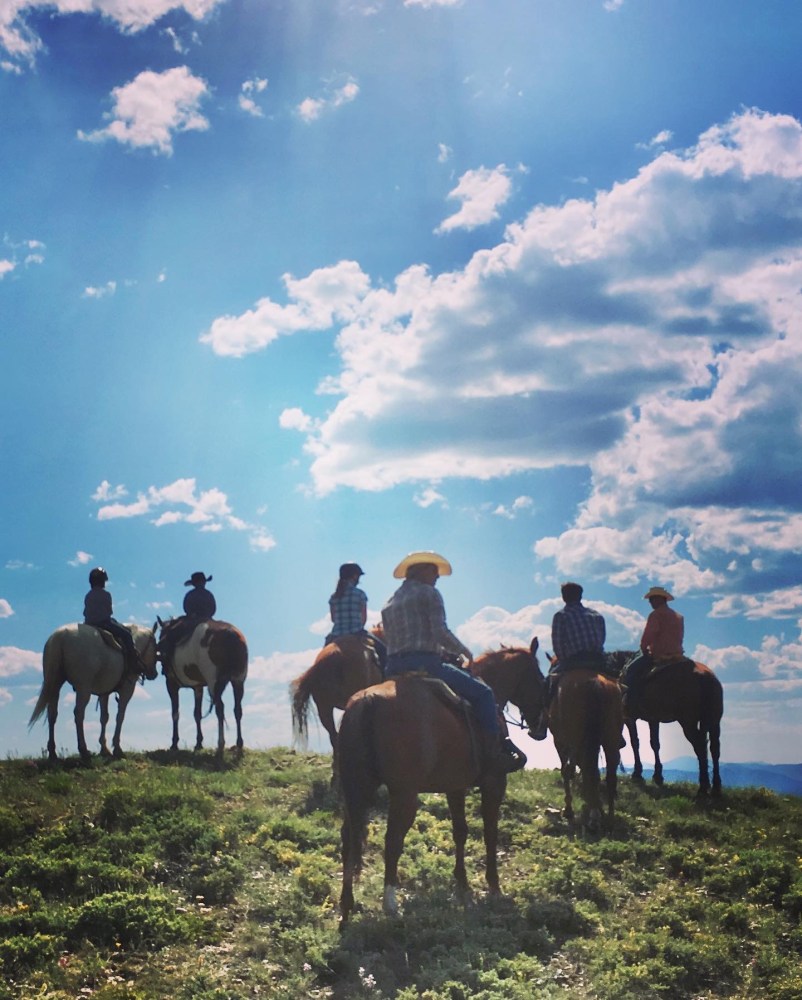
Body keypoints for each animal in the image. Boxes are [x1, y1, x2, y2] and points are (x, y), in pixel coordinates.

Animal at [30, 620, 158, 760]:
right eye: (155, 646)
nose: (154, 674)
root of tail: (60, 636)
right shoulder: (127, 690)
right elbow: (120, 716)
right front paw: (117, 748)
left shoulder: (104, 692)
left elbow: (104, 717)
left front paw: (104, 749)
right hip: (83, 688)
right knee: (79, 714)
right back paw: (83, 750)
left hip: (55, 685)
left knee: (52, 714)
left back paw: (53, 753)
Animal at [334, 640, 548, 920]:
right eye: (539, 678)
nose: (541, 728)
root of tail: (367, 701)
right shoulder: (494, 783)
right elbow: (490, 832)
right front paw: (493, 885)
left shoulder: (455, 787)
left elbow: (461, 831)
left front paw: (462, 883)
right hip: (404, 795)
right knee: (392, 840)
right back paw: (390, 903)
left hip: (357, 790)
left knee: (349, 838)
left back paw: (347, 903)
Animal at [544, 664, 624, 828]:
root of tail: (595, 683)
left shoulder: (561, 742)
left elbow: (566, 770)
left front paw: (569, 809)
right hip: (610, 739)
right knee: (609, 774)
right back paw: (609, 816)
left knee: (583, 769)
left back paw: (593, 815)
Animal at [608, 648, 724, 796]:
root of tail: (706, 677)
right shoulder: (653, 719)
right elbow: (655, 744)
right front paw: (658, 775)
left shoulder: (629, 718)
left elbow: (635, 742)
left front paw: (637, 773)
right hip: (714, 721)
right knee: (714, 749)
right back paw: (715, 787)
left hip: (688, 722)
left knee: (699, 746)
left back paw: (703, 787)